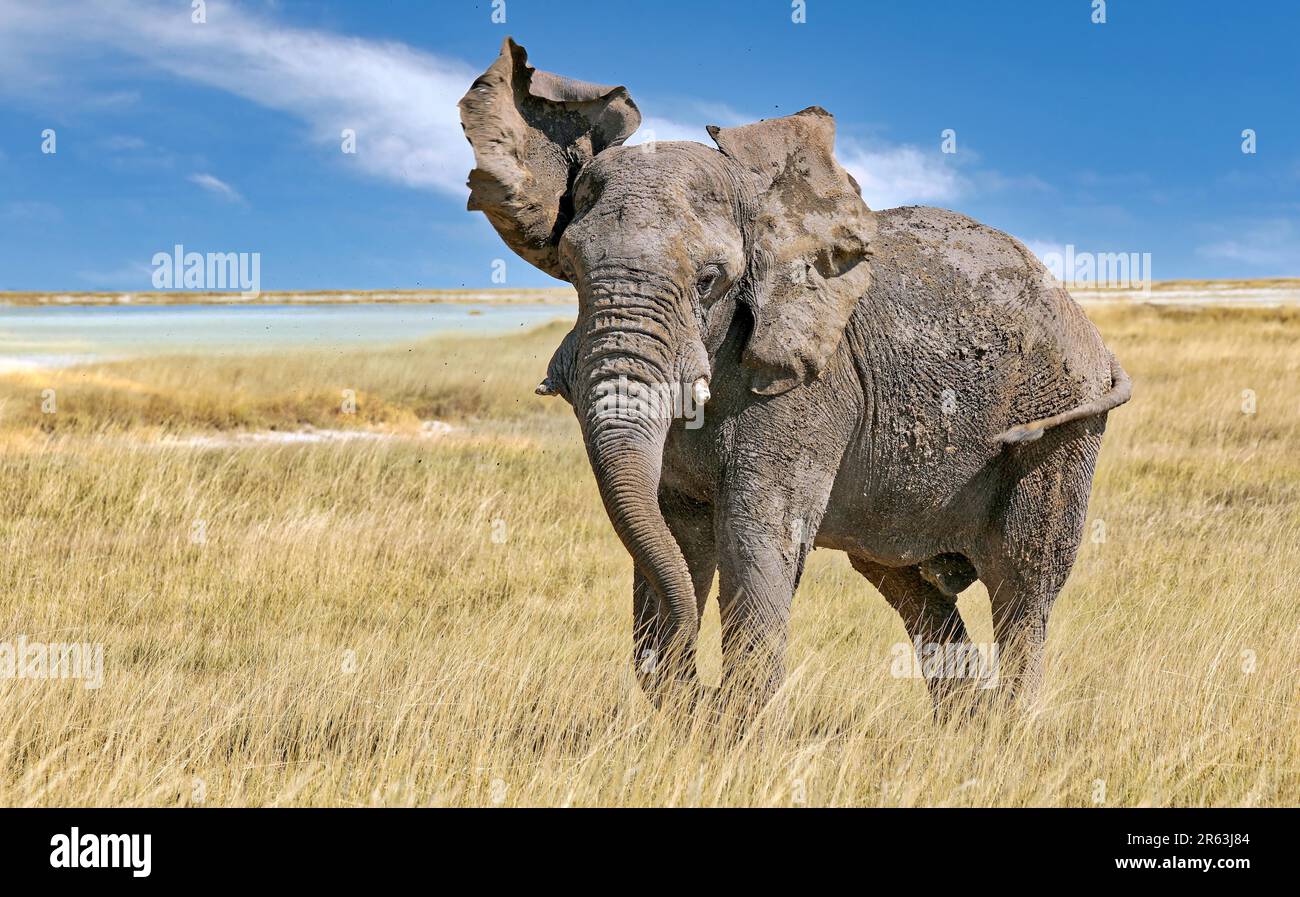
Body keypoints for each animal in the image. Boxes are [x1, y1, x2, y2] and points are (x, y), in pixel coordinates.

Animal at [459, 38, 1131, 719]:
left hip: (1063, 418)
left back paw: (1006, 726)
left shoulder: (809, 383)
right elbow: (677, 532)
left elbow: (756, 536)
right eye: (570, 271)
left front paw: (735, 723)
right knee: (904, 582)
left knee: (1024, 577)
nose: (701, 690)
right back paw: (963, 725)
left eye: (710, 280)